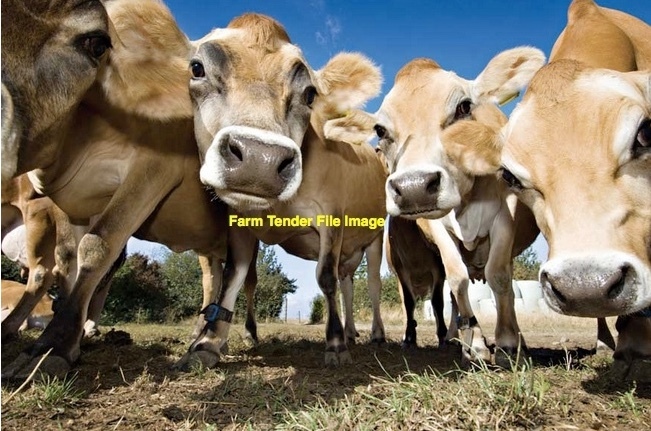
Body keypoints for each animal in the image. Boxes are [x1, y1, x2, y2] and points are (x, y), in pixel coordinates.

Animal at [186, 13, 387, 367]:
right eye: (197, 68)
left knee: (372, 284)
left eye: (309, 94)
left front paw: (335, 344)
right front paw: (208, 343)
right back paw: (351, 330)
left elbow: (325, 277)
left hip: (375, 236)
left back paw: (374, 333)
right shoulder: (240, 222)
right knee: (348, 284)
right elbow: (233, 276)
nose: (259, 159)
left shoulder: (332, 218)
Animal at [324, 49, 545, 366]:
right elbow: (456, 280)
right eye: (380, 129)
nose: (414, 187)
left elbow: (500, 277)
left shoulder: (505, 216)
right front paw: (475, 345)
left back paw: (517, 341)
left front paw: (506, 344)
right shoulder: (436, 230)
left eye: (464, 107)